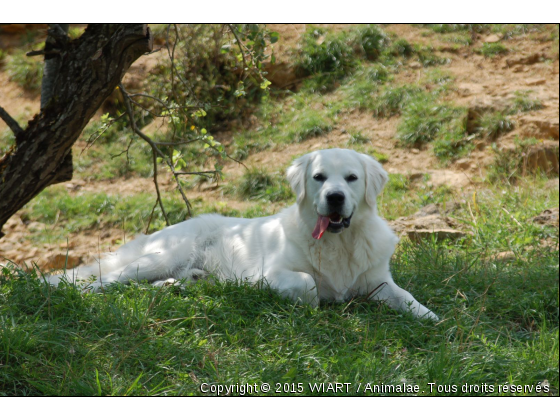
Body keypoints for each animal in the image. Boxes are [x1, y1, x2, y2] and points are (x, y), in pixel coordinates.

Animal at [48, 149, 438, 320]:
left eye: (352, 178)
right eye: (319, 177)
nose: (335, 198)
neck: (339, 242)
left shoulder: (376, 279)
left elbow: (405, 297)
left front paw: (430, 317)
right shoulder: (271, 273)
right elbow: (308, 284)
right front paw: (313, 303)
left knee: (152, 285)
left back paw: (178, 285)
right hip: (160, 256)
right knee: (108, 280)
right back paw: (73, 290)